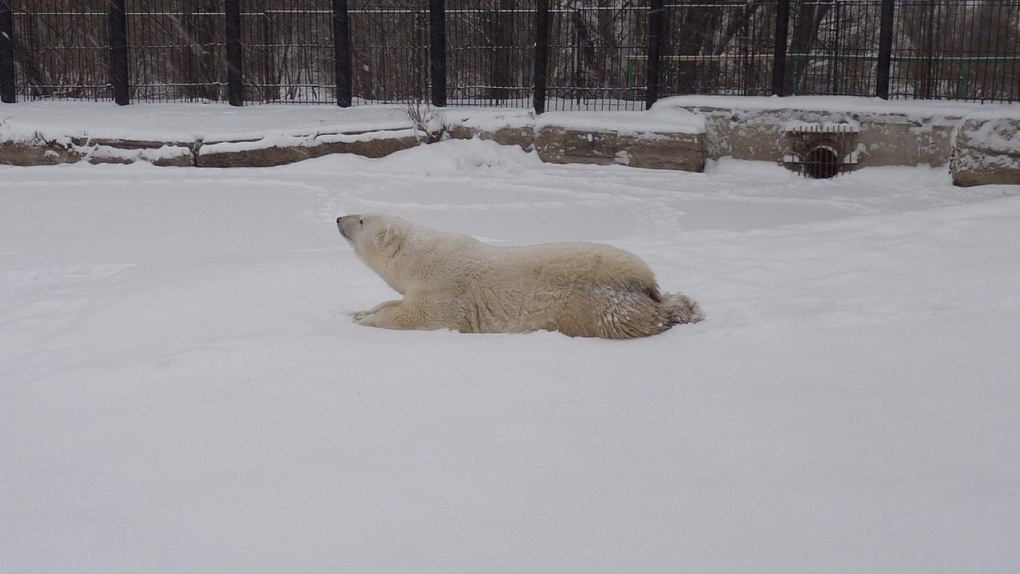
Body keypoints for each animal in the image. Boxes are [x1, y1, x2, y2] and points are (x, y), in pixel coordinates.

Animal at [334, 216, 701, 340]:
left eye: (362, 220)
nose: (338, 218)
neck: (420, 259)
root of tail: (645, 280)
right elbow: (392, 301)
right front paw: (358, 311)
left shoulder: (445, 287)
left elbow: (419, 316)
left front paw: (366, 321)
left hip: (593, 301)